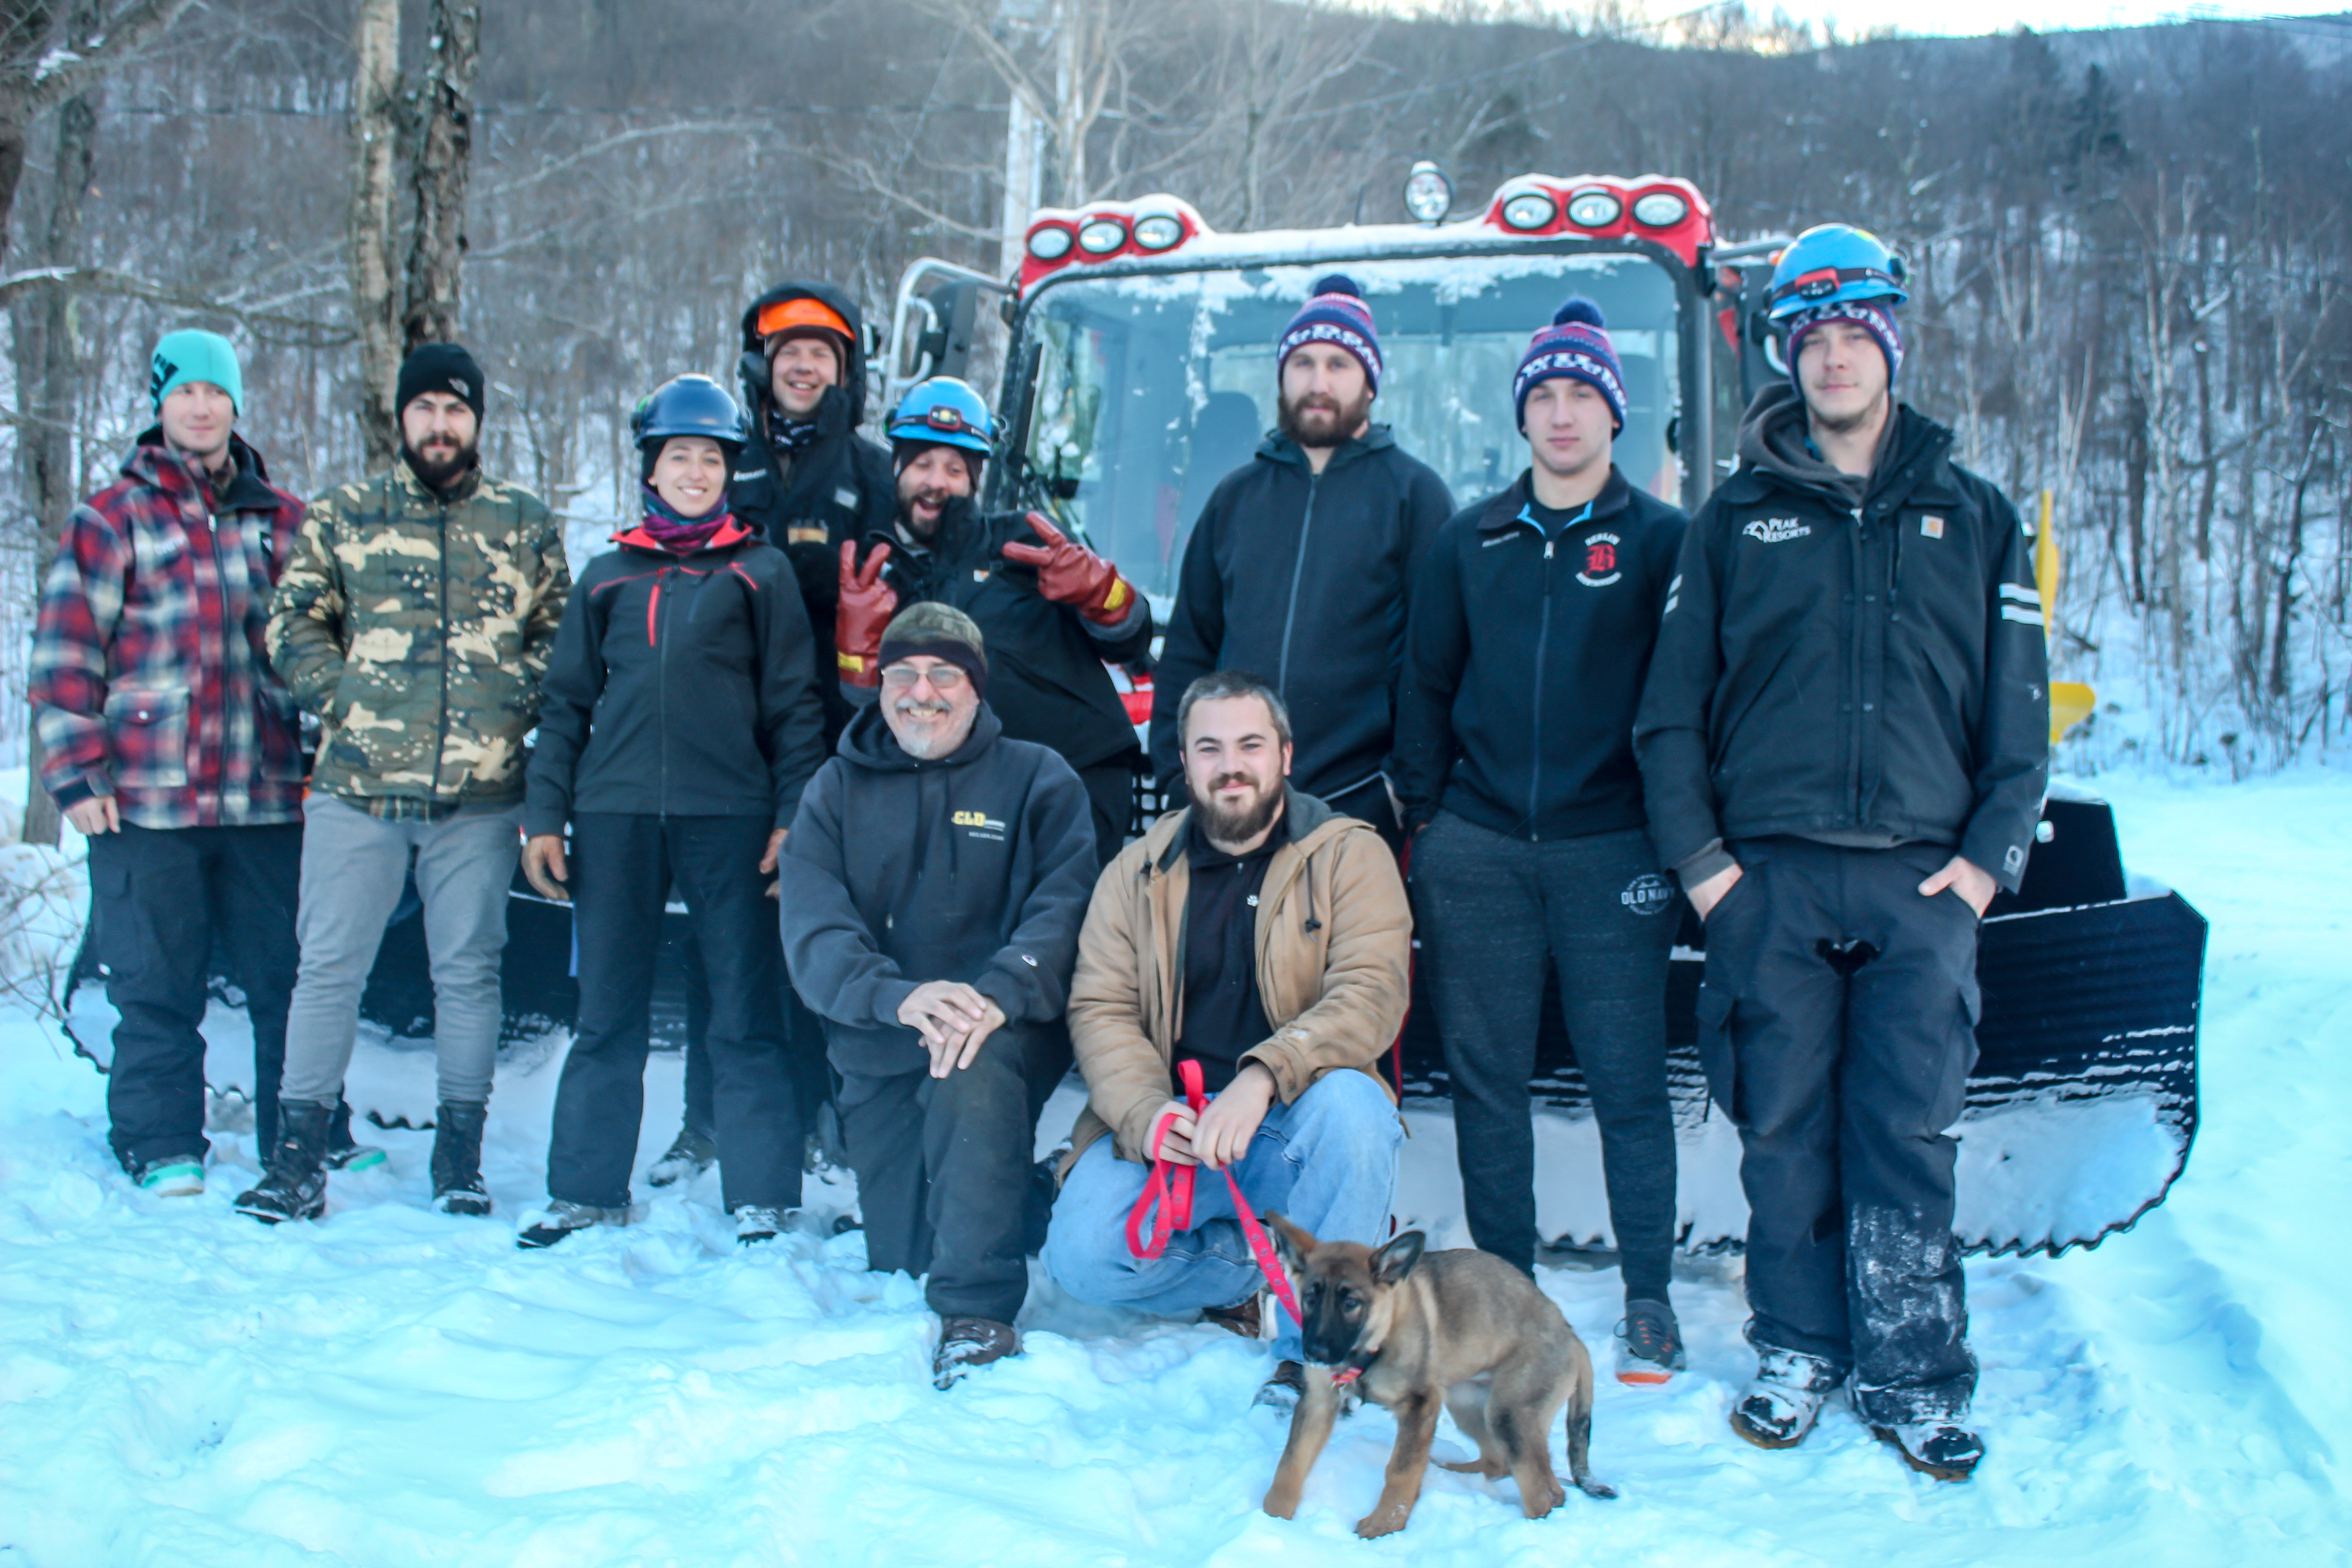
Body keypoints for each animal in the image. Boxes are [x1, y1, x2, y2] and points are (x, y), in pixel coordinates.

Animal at [1270, 1222, 1618, 1542]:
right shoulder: (1319, 1401)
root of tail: (1572, 1337)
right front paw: (1273, 1516)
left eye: (1351, 1303)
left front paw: (1385, 1525)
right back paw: (1453, 1471)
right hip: (1467, 1404)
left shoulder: (1420, 1405)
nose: (1314, 1353)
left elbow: (1401, 1470)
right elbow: (1291, 1462)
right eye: (1310, 1297)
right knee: (1498, 1463)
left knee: (1546, 1493)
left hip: (1510, 1414)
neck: (1375, 1343)